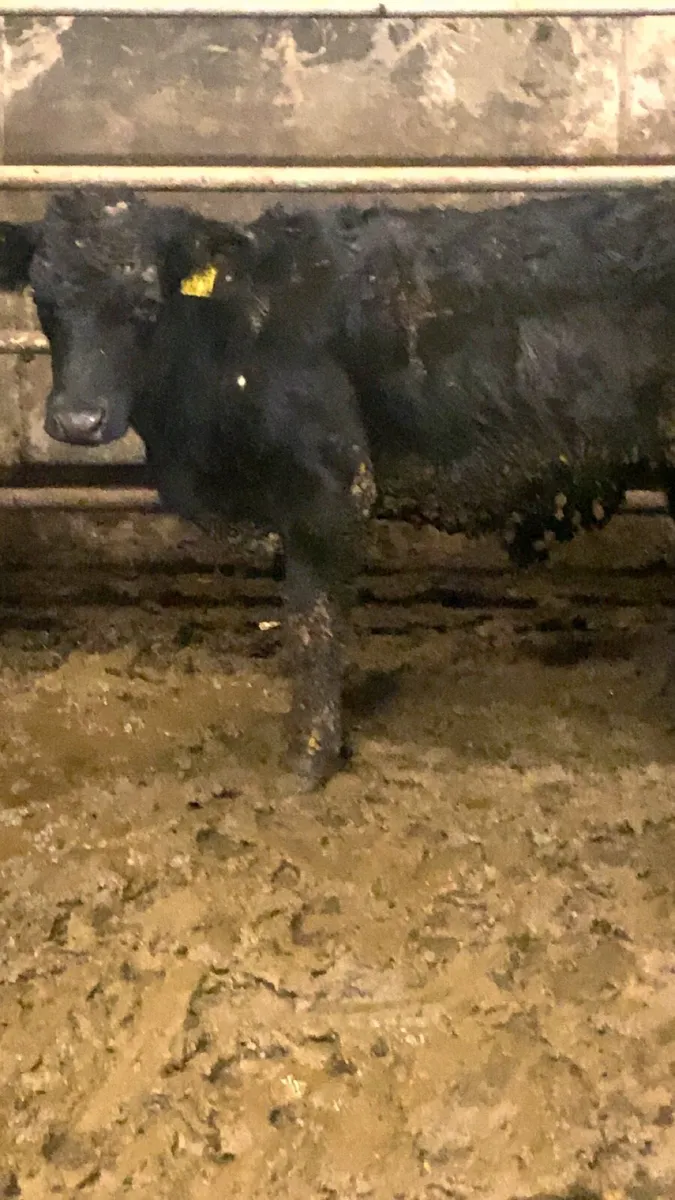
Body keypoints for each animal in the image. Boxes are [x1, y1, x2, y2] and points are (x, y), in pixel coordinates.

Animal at [1, 185, 675, 788]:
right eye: (44, 301)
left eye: (145, 304)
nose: (76, 421)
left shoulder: (332, 487)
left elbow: (312, 624)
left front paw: (310, 756)